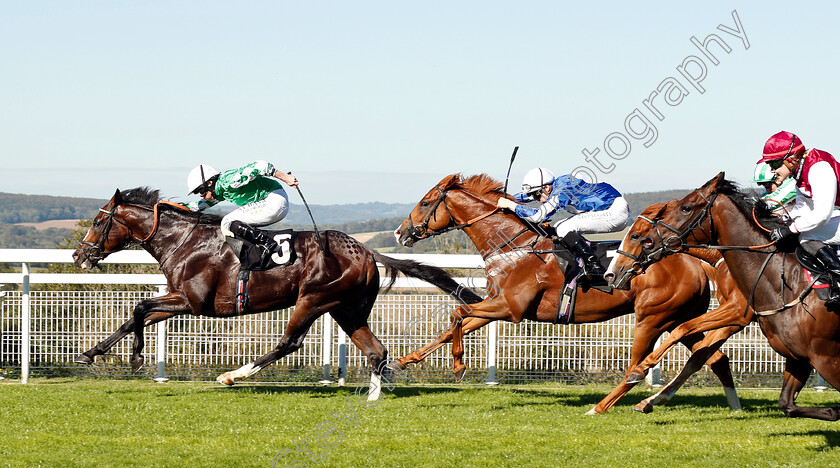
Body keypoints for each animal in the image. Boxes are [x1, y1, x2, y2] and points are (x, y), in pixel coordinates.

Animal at [72, 186, 480, 394]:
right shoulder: (180, 300)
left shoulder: (191, 301)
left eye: (98, 221)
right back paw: (373, 396)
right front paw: (89, 354)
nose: (79, 254)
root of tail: (365, 251)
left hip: (314, 298)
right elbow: (135, 315)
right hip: (347, 309)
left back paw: (232, 376)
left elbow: (140, 308)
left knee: (289, 343)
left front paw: (136, 357)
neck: (183, 240)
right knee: (376, 351)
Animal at [390, 175, 740, 414]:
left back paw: (604, 407)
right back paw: (732, 406)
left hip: (653, 318)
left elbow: (457, 315)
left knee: (638, 367)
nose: (400, 232)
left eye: (425, 202)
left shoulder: (509, 308)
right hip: (682, 318)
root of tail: (696, 261)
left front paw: (459, 365)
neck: (512, 245)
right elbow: (453, 326)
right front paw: (400, 362)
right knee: (714, 358)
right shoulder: (496, 304)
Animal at [608, 172, 840, 420]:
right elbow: (698, 354)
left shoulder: (737, 312)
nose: (612, 274)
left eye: (635, 235)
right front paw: (647, 399)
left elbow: (686, 333)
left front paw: (637, 377)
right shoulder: (736, 317)